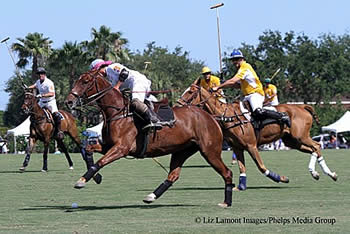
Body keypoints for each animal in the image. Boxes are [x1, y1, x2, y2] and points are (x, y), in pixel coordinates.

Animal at [65, 70, 235, 207]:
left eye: (85, 81)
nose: (68, 101)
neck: (118, 113)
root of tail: (211, 117)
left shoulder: (121, 148)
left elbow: (100, 162)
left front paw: (81, 181)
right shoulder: (109, 146)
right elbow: (88, 150)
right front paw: (96, 177)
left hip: (209, 151)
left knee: (227, 173)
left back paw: (226, 202)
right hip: (181, 151)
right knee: (173, 175)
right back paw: (151, 196)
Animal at [179, 85, 338, 191]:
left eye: (190, 92)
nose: (178, 104)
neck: (228, 116)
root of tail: (303, 107)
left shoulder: (251, 145)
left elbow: (261, 167)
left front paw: (281, 178)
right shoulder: (237, 147)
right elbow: (241, 167)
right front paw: (240, 186)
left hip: (301, 136)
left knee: (316, 146)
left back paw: (327, 173)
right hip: (292, 141)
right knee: (313, 149)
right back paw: (320, 173)